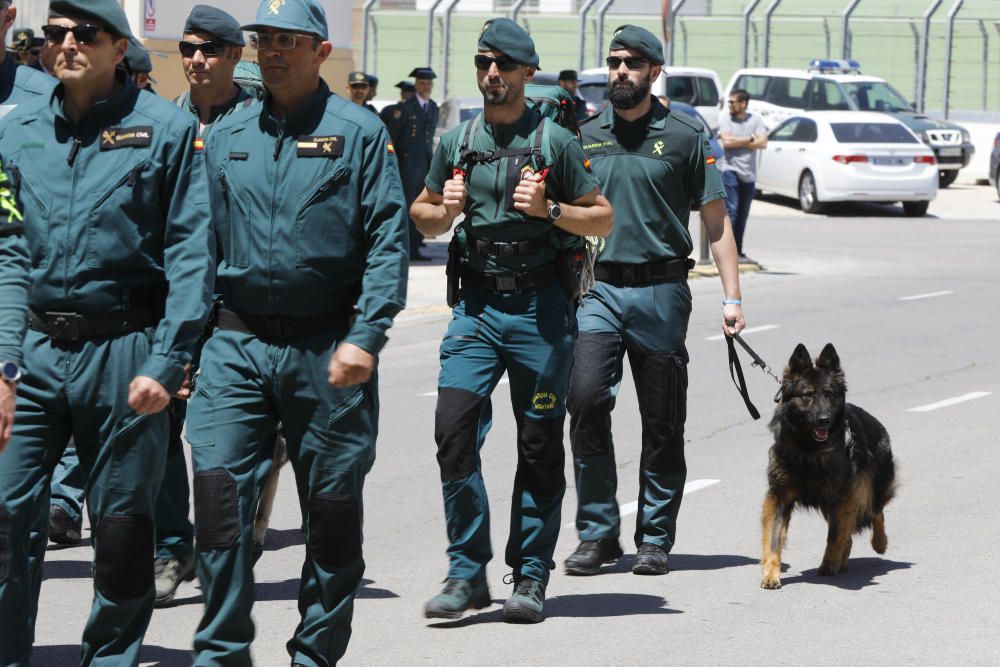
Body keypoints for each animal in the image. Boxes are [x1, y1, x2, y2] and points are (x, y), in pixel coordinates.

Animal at [760, 344, 896, 588]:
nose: (824, 419)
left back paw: (879, 543)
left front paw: (828, 564)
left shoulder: (841, 497)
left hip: (869, 489)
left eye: (829, 394)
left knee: (876, 512)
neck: (808, 449)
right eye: (808, 395)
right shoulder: (780, 496)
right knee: (851, 532)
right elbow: (774, 538)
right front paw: (771, 574)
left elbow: (835, 535)